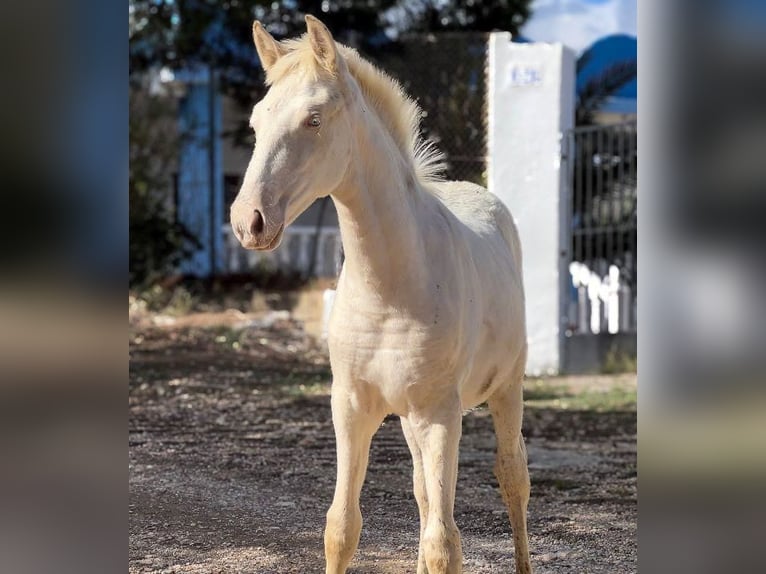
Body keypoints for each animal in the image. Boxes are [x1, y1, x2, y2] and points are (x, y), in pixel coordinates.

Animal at [231, 15, 536, 572]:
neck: (391, 289)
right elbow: (342, 528)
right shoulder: (351, 407)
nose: (250, 222)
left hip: (505, 390)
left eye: (313, 119)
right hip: (412, 417)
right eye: (257, 122)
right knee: (423, 493)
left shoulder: (440, 414)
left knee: (512, 478)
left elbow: (444, 544)